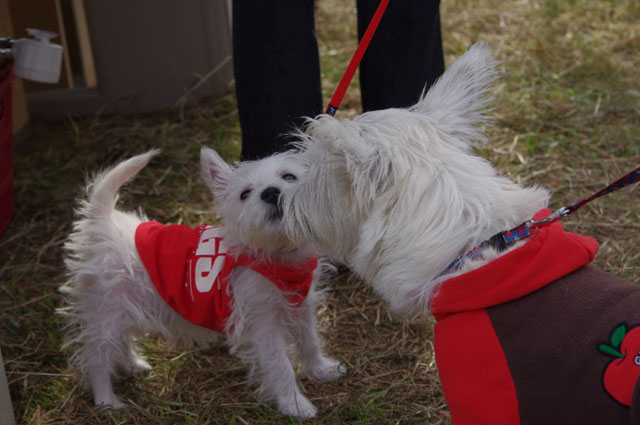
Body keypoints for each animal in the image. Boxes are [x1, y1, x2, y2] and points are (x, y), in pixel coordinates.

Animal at [60, 148, 344, 418]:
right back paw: (107, 401)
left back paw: (132, 364)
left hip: (124, 309)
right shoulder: (263, 325)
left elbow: (309, 341)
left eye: (289, 177)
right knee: (97, 358)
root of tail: (103, 224)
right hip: (107, 312)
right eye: (245, 194)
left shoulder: (301, 307)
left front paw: (322, 369)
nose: (270, 192)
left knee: (121, 342)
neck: (275, 252)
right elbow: (280, 366)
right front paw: (295, 405)